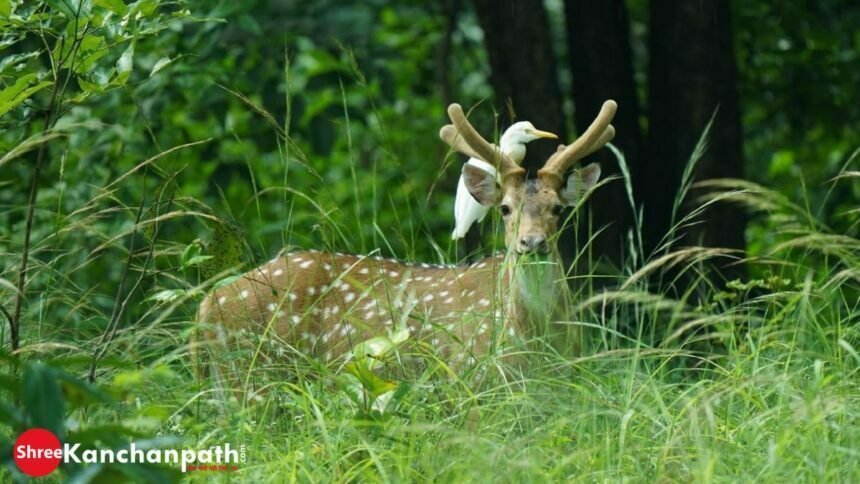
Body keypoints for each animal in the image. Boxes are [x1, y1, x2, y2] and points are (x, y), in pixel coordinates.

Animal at [198, 100, 616, 384]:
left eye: (558, 208)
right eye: (506, 209)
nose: (531, 243)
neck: (537, 334)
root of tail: (205, 306)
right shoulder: (469, 376)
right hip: (253, 378)